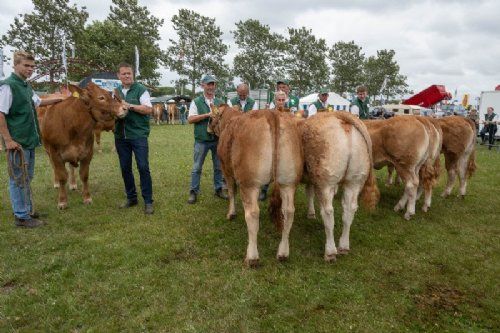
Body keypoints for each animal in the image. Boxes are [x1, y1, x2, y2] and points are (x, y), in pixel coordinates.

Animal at [209, 105, 302, 266]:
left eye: (212, 117)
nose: (208, 127)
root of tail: (271, 113)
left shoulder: (226, 169)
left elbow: (232, 192)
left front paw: (231, 213)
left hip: (249, 183)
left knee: (252, 213)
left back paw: (252, 257)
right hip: (288, 182)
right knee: (289, 211)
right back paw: (283, 253)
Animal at [300, 113, 378, 260]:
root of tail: (339, 116)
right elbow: (309, 192)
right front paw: (311, 213)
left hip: (326, 181)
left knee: (328, 213)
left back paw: (330, 251)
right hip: (354, 180)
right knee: (349, 210)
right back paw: (344, 246)